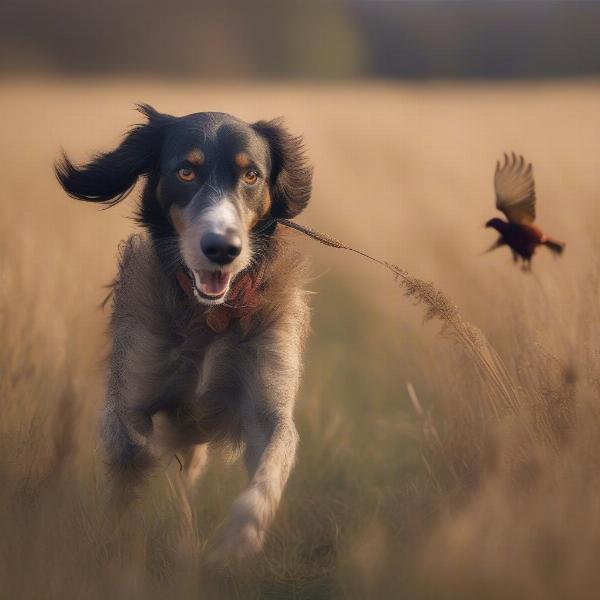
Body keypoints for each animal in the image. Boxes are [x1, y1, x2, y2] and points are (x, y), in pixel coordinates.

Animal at [55, 105, 314, 560]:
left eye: (251, 175)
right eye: (186, 172)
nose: (222, 248)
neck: (209, 316)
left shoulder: (267, 403)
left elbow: (271, 462)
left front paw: (241, 535)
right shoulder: (132, 392)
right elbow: (131, 445)